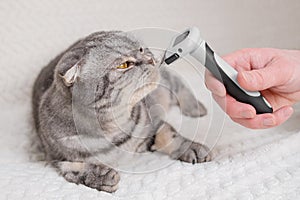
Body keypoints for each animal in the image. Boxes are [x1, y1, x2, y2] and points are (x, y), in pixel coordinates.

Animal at [32, 30, 211, 192]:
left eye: (141, 49)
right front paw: (101, 176)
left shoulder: (153, 123)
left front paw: (192, 148)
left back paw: (196, 109)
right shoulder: (54, 157)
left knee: (180, 86)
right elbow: (73, 169)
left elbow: (171, 136)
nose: (151, 59)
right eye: (124, 65)